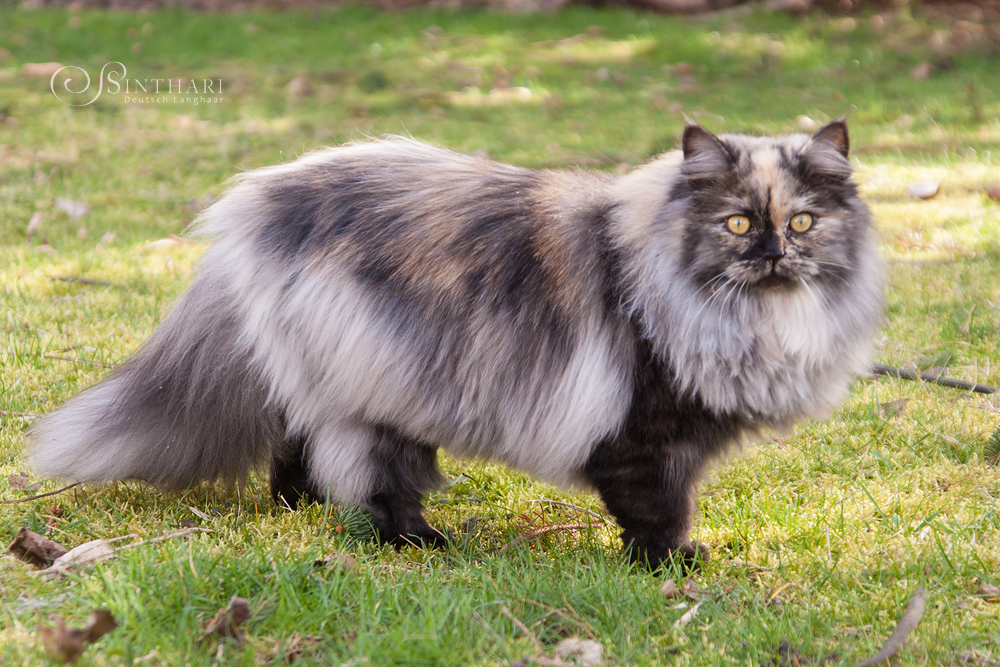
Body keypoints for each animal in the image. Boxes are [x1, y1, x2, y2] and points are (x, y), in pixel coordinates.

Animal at [25, 120, 884, 568]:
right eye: (737, 222)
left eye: (802, 221)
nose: (773, 252)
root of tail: (257, 206)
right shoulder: (641, 435)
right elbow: (658, 508)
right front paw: (671, 562)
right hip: (380, 394)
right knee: (374, 479)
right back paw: (420, 540)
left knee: (298, 442)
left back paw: (300, 503)